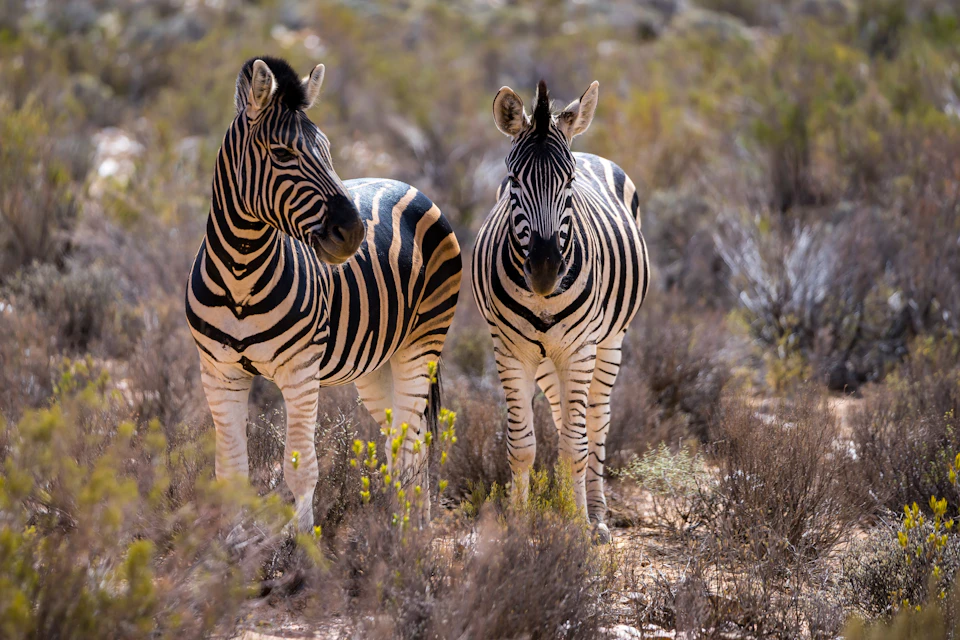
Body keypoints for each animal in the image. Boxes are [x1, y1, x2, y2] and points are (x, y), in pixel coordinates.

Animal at [186, 57, 462, 530]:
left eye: (328, 149)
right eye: (282, 153)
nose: (352, 233)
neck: (240, 273)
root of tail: (404, 181)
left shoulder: (300, 373)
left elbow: (301, 469)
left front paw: (302, 544)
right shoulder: (218, 373)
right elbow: (231, 470)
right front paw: (229, 544)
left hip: (422, 341)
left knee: (410, 439)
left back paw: (409, 533)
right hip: (376, 364)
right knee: (403, 437)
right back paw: (409, 523)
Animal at [472, 80, 649, 539]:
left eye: (568, 181)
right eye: (513, 180)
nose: (545, 270)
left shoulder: (580, 351)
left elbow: (575, 445)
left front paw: (577, 525)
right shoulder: (509, 352)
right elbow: (522, 445)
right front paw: (518, 523)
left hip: (608, 344)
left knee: (596, 422)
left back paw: (597, 514)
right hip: (547, 358)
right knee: (561, 416)